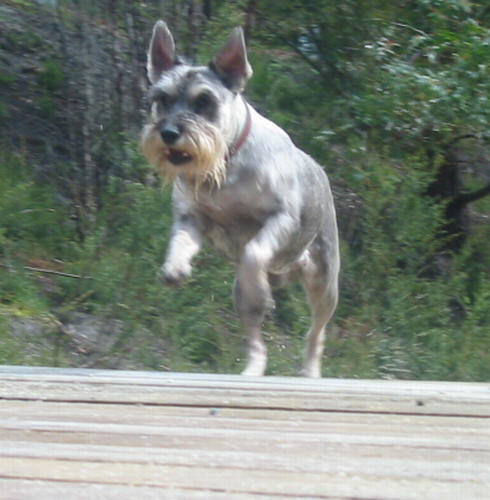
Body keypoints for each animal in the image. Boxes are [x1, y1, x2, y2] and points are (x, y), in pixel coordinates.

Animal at [141, 20, 340, 378]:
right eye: (160, 98)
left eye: (204, 101)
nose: (169, 133)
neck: (226, 164)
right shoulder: (192, 219)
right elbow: (180, 241)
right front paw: (174, 268)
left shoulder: (281, 218)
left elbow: (253, 252)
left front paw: (257, 281)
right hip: (243, 300)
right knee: (255, 339)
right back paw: (253, 366)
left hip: (325, 285)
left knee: (315, 333)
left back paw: (310, 370)